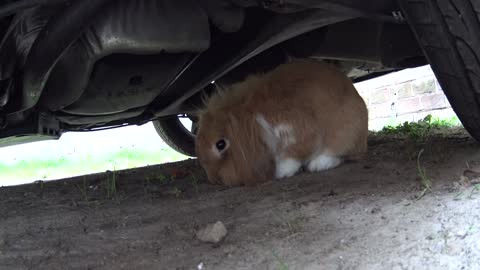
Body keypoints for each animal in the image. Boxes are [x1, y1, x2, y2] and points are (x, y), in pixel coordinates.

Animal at [195, 59, 368, 186]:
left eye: (220, 144)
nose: (214, 179)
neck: (251, 117)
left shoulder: (295, 132)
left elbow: (292, 155)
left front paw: (281, 173)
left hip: (346, 132)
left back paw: (318, 164)